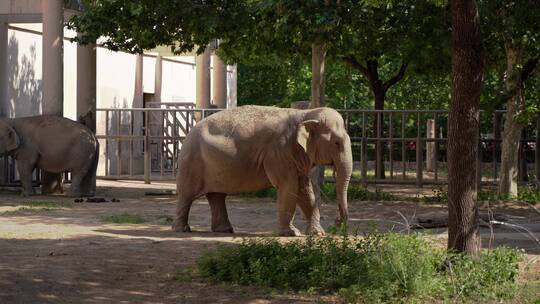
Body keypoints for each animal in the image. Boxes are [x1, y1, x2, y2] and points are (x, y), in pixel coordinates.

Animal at [173, 105, 356, 236]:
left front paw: (318, 234)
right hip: (191, 162)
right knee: (187, 195)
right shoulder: (279, 152)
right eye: (336, 143)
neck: (304, 114)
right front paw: (291, 233)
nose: (337, 222)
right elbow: (289, 186)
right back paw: (182, 229)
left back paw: (224, 230)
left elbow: (305, 190)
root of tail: (188, 133)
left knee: (216, 196)